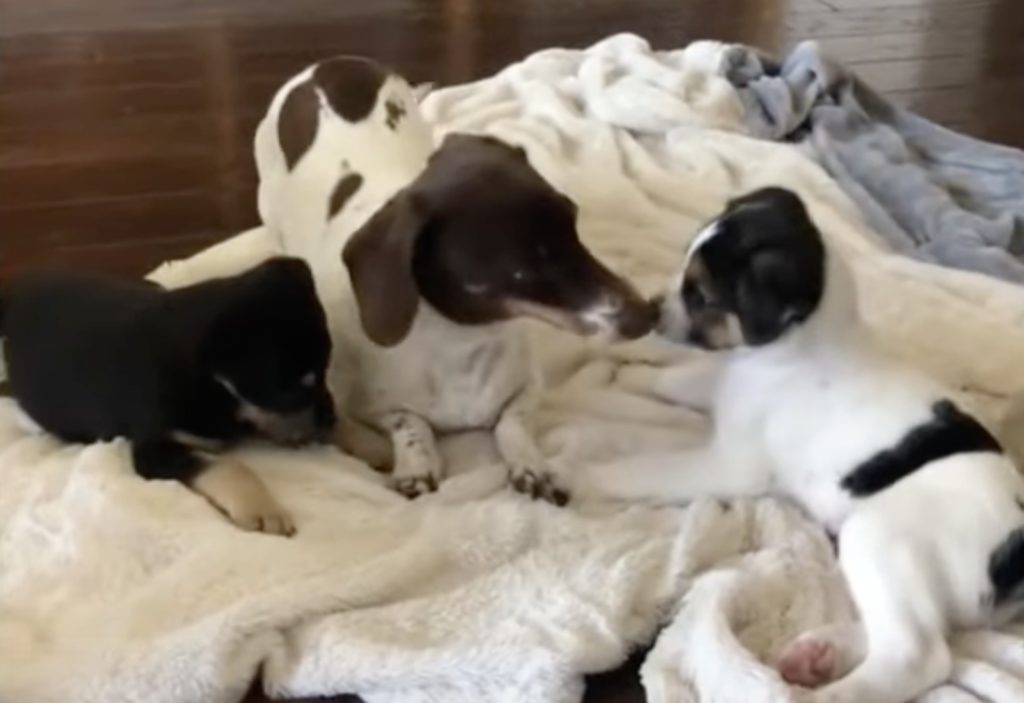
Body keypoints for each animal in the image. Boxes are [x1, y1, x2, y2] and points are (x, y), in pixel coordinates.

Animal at [0, 257, 335, 536]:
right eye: (291, 390)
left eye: (325, 371)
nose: (333, 423)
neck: (208, 379)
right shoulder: (155, 449)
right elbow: (231, 466)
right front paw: (264, 509)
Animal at [254, 56, 654, 503]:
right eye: (525, 265)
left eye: (574, 223)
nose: (648, 315)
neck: (462, 343)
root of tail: (329, 64)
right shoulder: (355, 404)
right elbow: (408, 422)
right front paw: (416, 463)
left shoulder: (528, 387)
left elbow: (513, 422)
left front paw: (531, 464)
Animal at [579, 187, 1024, 703]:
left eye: (701, 295)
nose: (650, 311)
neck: (801, 343)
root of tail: (1016, 553)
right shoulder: (727, 385)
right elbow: (682, 379)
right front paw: (626, 371)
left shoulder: (731, 465)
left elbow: (652, 467)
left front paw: (579, 469)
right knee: (914, 630)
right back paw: (820, 654)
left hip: (876, 535)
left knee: (919, 652)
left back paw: (833, 691)